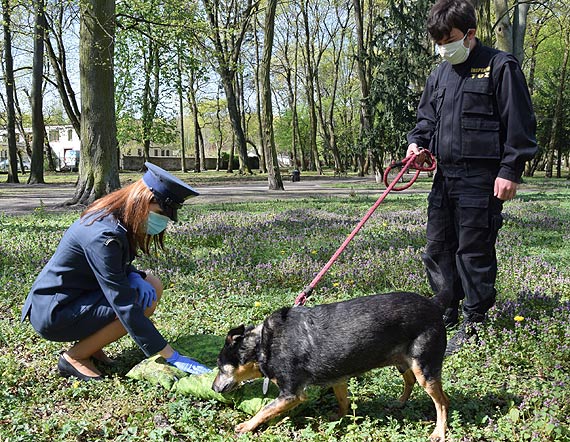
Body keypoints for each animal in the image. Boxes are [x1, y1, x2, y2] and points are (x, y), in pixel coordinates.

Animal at [211, 288, 450, 440]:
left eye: (220, 366)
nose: (213, 388)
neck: (263, 344)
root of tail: (434, 304)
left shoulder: (291, 394)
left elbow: (264, 410)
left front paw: (246, 426)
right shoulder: (338, 378)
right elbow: (343, 401)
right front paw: (339, 416)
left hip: (423, 368)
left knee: (442, 402)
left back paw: (439, 432)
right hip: (403, 361)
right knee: (412, 381)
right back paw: (399, 402)